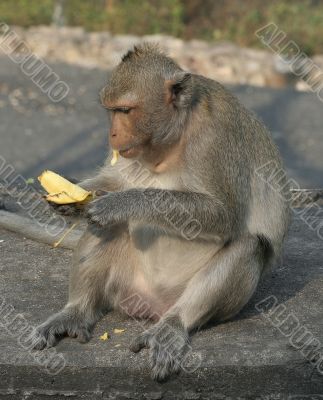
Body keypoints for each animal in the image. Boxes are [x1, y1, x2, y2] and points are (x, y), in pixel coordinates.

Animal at [33, 43, 292, 382]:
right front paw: (73, 200)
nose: (111, 135)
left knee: (249, 245)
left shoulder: (213, 139)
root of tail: (152, 306)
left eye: (125, 111)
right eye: (111, 111)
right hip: (126, 285)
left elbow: (223, 215)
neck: (172, 138)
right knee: (106, 229)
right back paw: (76, 310)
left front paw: (120, 203)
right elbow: (115, 181)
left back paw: (173, 324)